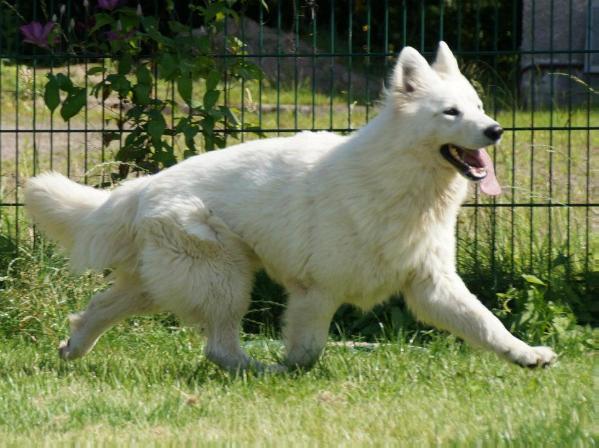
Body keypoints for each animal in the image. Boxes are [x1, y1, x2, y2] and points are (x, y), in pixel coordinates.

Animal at [24, 43, 556, 372]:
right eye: (451, 112)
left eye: (478, 107)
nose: (496, 130)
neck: (398, 180)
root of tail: (145, 186)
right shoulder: (314, 292)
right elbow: (306, 351)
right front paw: (290, 369)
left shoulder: (432, 286)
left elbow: (486, 322)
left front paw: (525, 355)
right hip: (225, 280)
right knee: (220, 349)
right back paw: (260, 370)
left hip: (166, 284)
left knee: (98, 308)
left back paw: (73, 347)